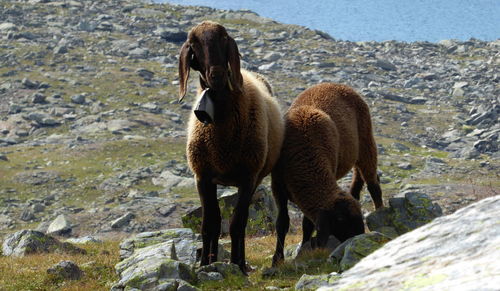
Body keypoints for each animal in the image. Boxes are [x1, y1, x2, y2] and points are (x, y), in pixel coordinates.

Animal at [178, 20, 284, 274]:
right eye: (194, 43)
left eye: (225, 39)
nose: (216, 74)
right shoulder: (203, 177)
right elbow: (210, 224)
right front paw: (206, 264)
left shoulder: (248, 177)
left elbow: (237, 223)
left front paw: (237, 265)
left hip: (255, 177)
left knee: (241, 222)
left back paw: (242, 262)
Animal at [270, 82, 382, 266]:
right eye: (341, 219)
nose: (357, 239)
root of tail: (336, 84)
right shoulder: (278, 187)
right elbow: (282, 223)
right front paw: (277, 259)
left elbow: (307, 224)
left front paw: (304, 249)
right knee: (358, 182)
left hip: (366, 142)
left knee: (373, 185)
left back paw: (380, 213)